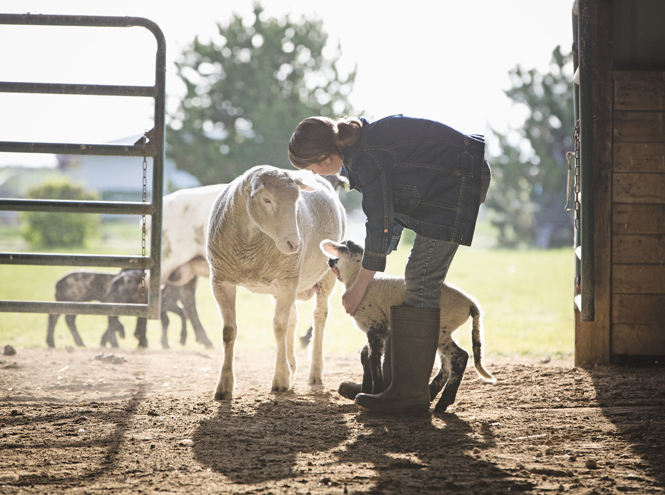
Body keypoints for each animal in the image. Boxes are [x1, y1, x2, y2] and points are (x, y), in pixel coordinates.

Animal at [208, 166, 344, 400]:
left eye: (297, 199)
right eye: (266, 199)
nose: (294, 244)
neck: (250, 243)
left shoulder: (287, 280)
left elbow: (279, 327)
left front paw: (280, 380)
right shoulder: (221, 280)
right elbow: (229, 331)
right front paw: (224, 386)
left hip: (324, 274)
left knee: (319, 316)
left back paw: (315, 372)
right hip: (281, 284)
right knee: (294, 318)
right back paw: (292, 366)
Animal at [316, 238, 492, 412]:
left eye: (338, 253)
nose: (329, 261)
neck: (357, 280)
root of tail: (471, 303)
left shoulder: (376, 326)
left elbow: (373, 359)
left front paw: (375, 391)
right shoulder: (378, 328)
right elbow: (364, 354)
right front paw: (365, 389)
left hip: (443, 327)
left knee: (460, 356)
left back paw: (442, 402)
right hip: (445, 330)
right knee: (446, 363)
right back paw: (431, 394)